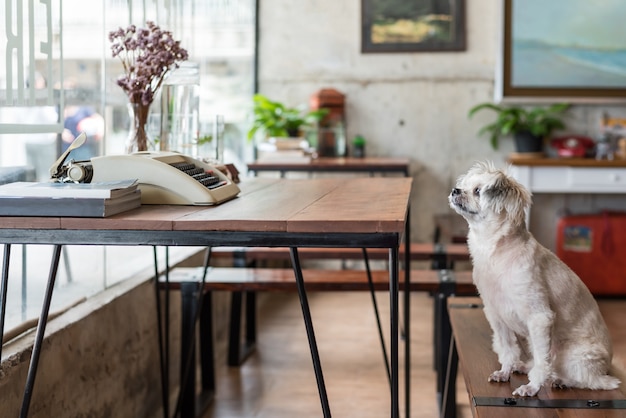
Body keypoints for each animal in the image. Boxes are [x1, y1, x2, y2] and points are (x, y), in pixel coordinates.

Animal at [446, 162, 616, 396]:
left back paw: (561, 380)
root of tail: (606, 367)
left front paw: (532, 387)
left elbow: (542, 364)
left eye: (478, 191)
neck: (495, 253)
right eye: (464, 187)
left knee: (588, 380)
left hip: (572, 355)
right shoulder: (496, 316)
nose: (455, 190)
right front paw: (505, 372)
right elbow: (507, 348)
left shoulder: (540, 317)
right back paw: (525, 367)